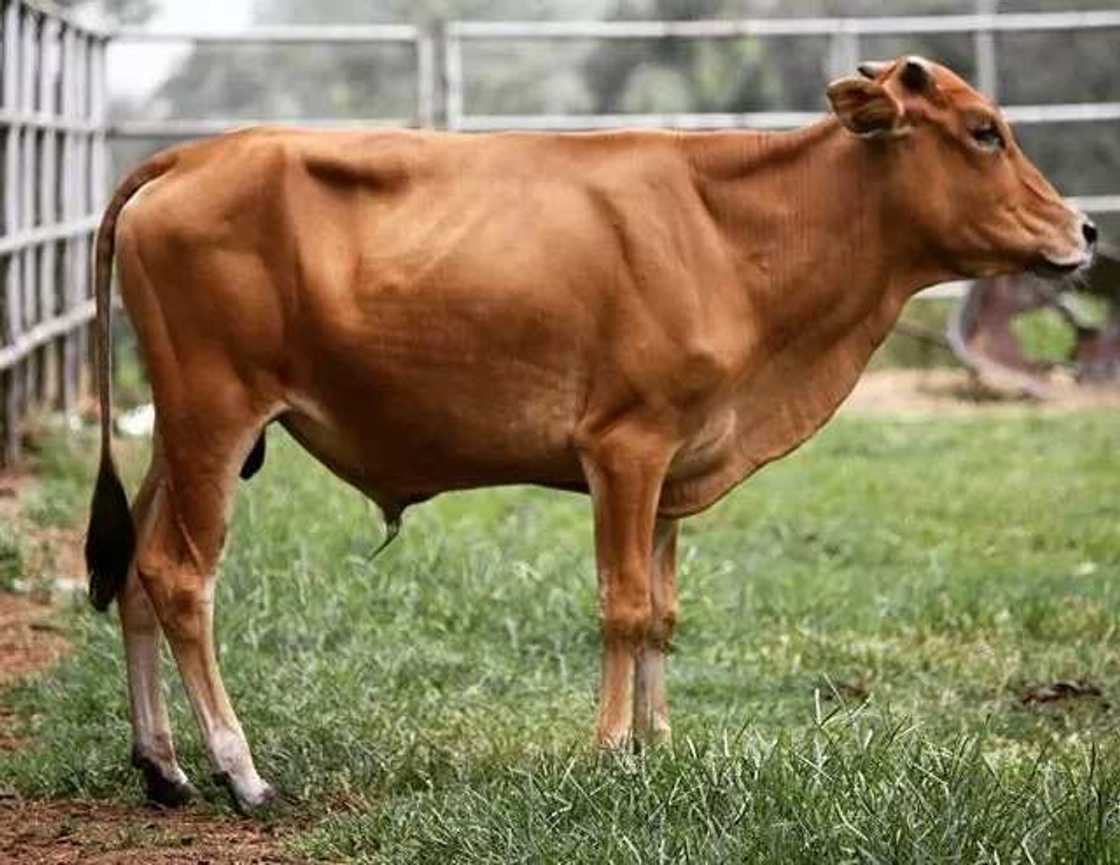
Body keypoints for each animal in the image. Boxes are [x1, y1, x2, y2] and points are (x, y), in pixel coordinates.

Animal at [84, 56, 1095, 812]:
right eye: (984, 131)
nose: (1086, 228)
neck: (736, 232)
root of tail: (187, 159)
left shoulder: (676, 465)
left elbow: (664, 610)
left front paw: (660, 740)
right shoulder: (625, 448)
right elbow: (624, 605)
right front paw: (612, 749)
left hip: (179, 431)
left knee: (135, 570)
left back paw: (163, 765)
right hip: (215, 415)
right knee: (181, 577)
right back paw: (240, 770)